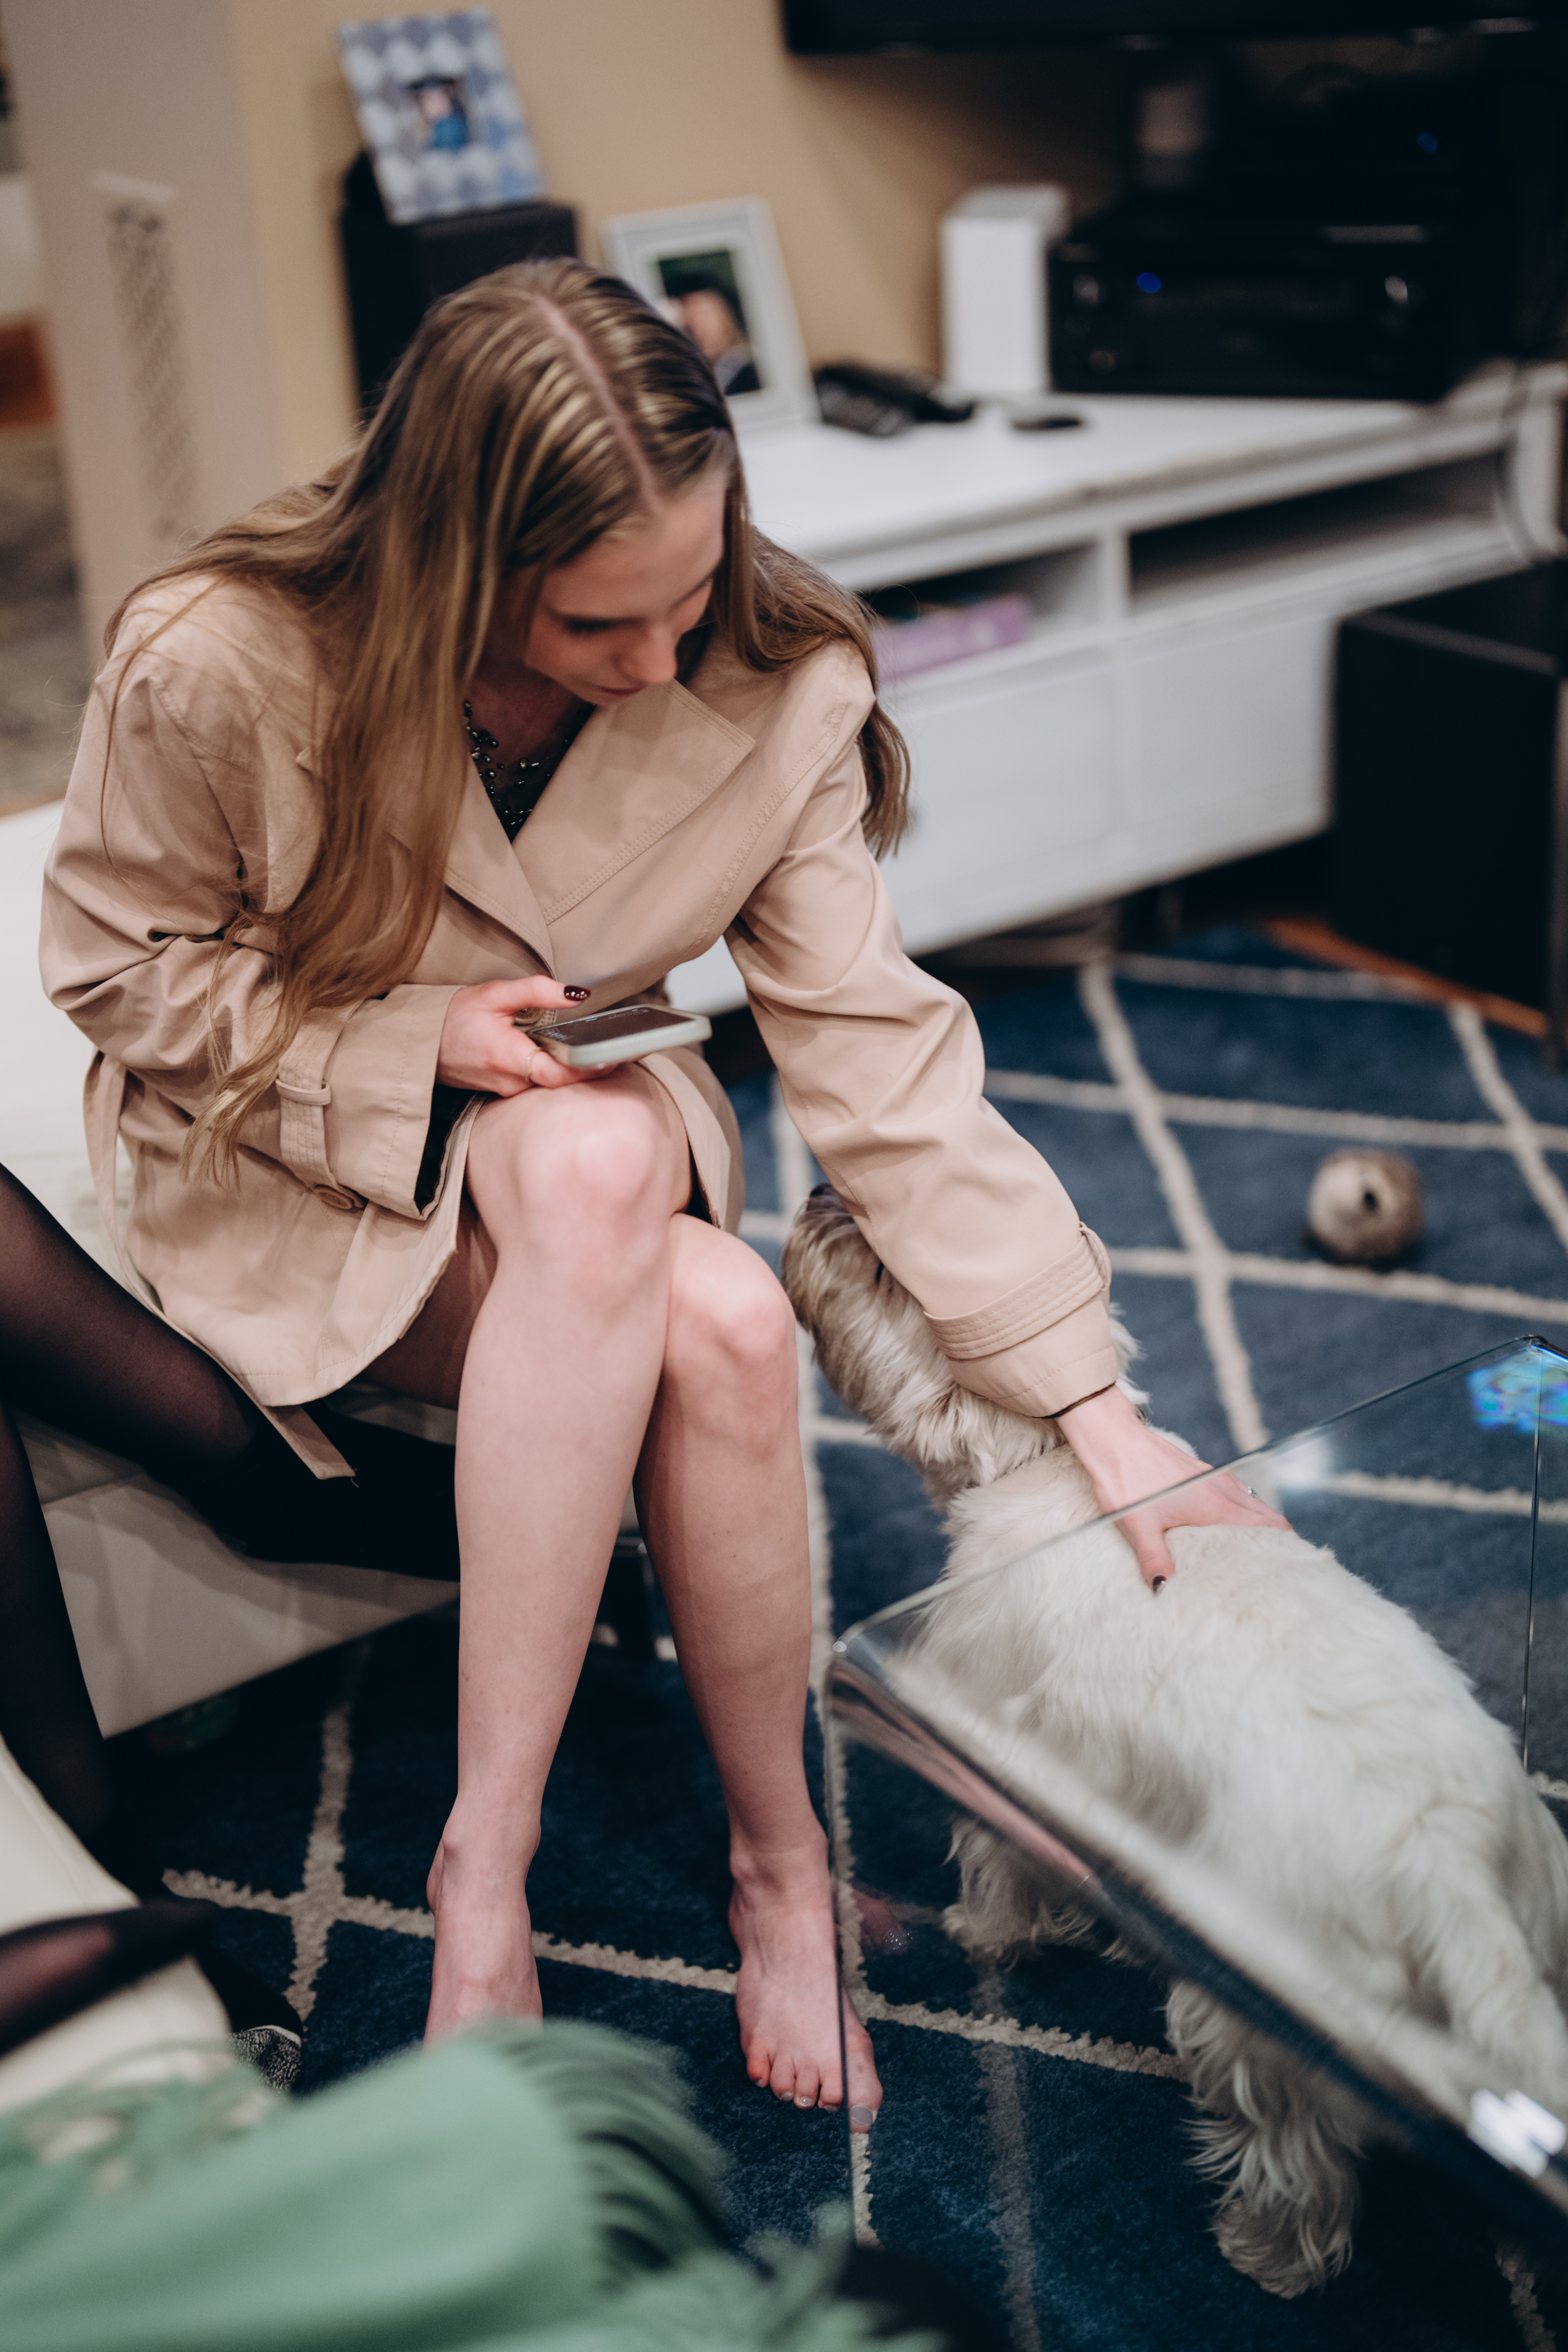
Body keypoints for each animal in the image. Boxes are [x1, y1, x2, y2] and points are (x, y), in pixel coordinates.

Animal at [784, 1183, 1568, 2298]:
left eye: (891, 1265)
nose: (819, 1190)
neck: (1050, 1466)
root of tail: (1446, 1852)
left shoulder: (992, 1728)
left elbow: (997, 1867)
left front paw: (987, 1931)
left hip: (1254, 2009)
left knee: (1297, 2158)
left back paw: (1264, 2252)